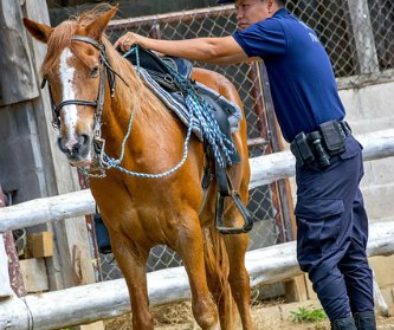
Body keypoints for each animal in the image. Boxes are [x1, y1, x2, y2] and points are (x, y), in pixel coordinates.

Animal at [23, 5, 254, 330]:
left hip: (232, 216)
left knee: (238, 282)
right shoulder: (126, 246)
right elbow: (142, 317)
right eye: (48, 75)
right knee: (221, 286)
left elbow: (204, 311)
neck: (134, 153)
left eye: (93, 69)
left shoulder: (187, 232)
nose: (74, 143)